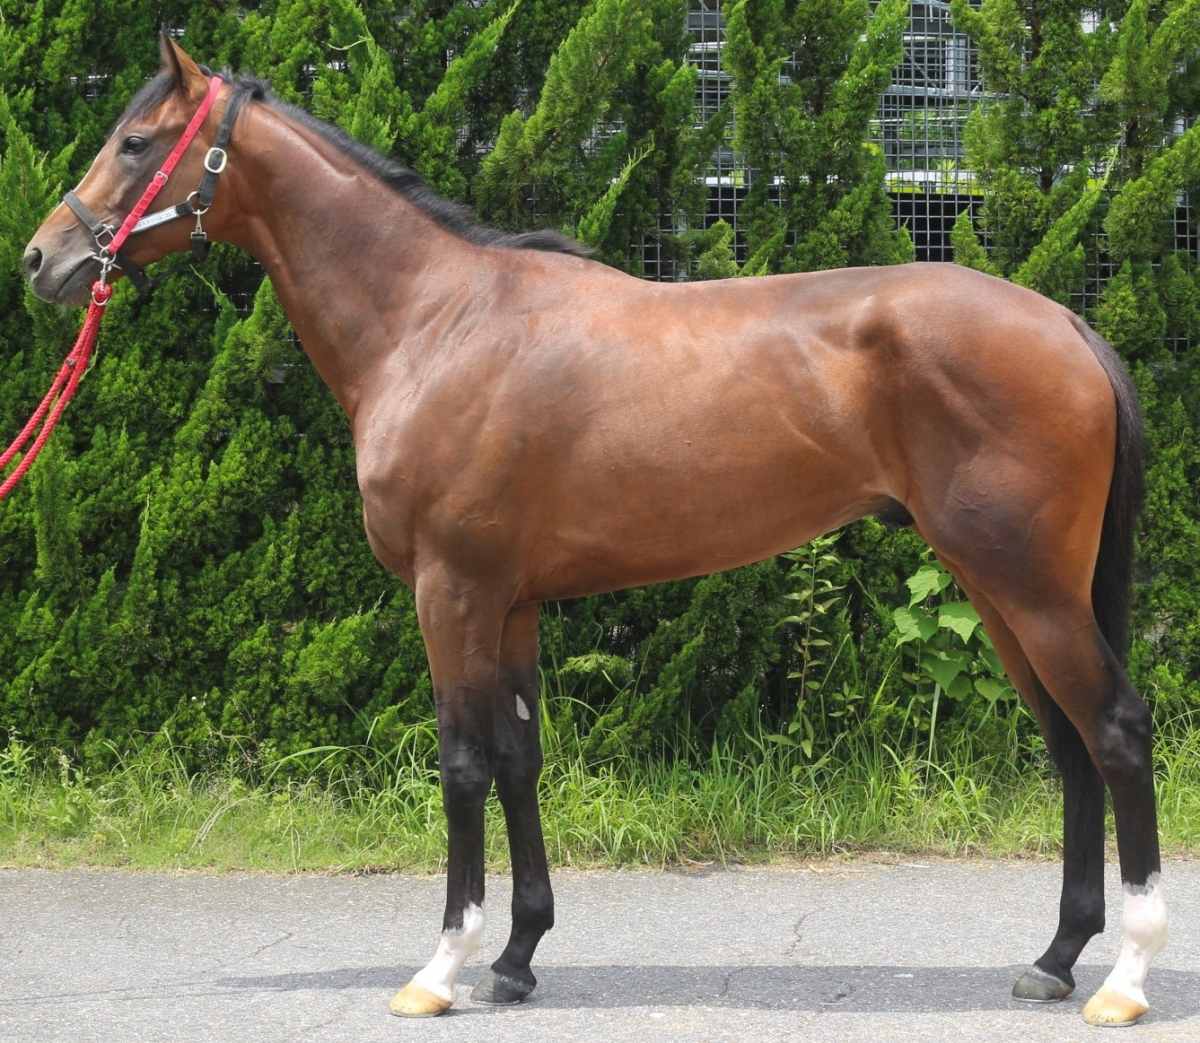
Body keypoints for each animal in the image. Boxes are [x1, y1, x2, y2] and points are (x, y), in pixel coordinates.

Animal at [23, 32, 1167, 1027]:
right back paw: (1054, 958)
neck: (435, 322)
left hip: (1028, 586)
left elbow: (462, 762)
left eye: (136, 141)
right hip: (999, 589)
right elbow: (521, 758)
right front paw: (519, 958)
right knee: (1069, 743)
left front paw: (442, 967)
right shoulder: (512, 599)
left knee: (1114, 730)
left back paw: (1124, 978)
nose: (42, 258)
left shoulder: (451, 590)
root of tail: (1067, 323)